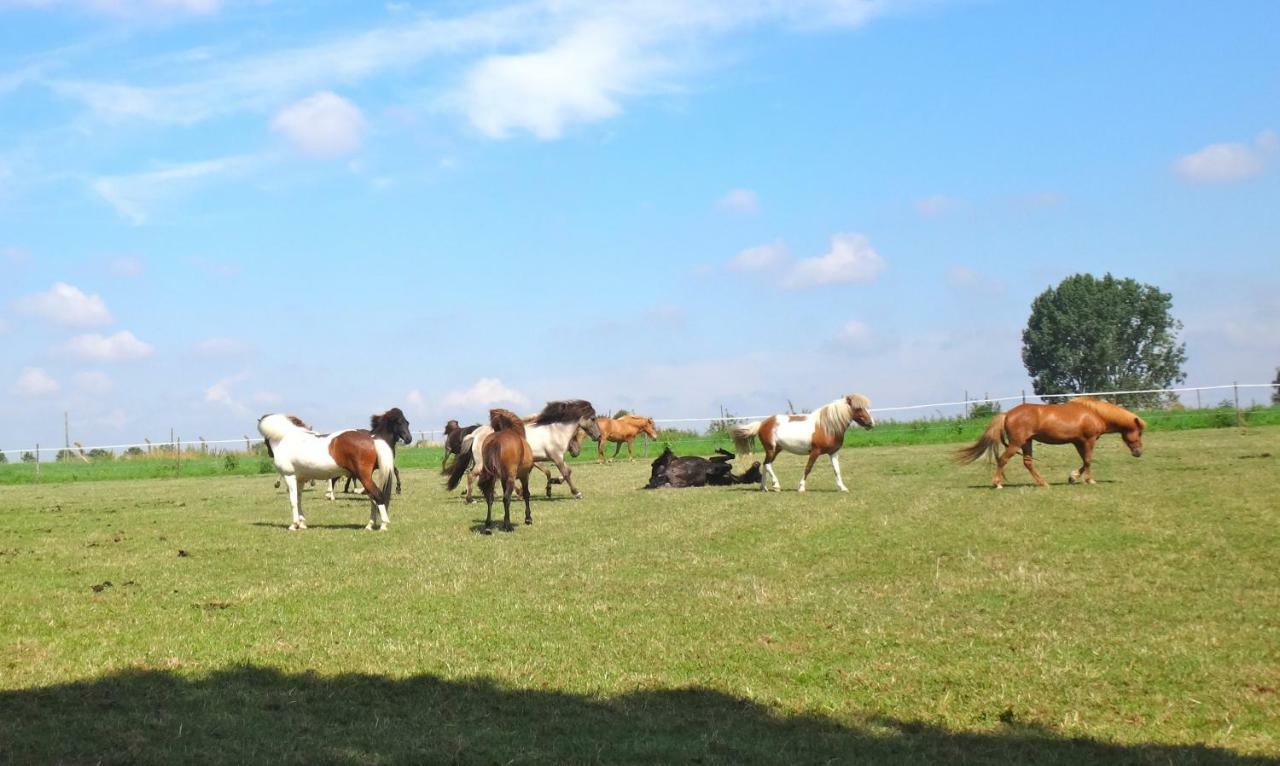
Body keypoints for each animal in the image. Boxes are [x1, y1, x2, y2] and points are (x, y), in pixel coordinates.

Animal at [258, 415, 394, 535]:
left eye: (265, 439)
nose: (270, 453)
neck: (285, 439)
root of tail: (372, 439)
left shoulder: (289, 476)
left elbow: (293, 501)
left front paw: (294, 525)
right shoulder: (300, 479)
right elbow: (299, 500)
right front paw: (302, 524)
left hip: (363, 477)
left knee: (378, 496)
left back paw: (383, 525)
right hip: (364, 478)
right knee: (373, 499)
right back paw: (369, 525)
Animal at [448, 407, 532, 535]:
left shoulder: (503, 479)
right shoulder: (524, 475)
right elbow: (527, 494)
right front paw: (528, 519)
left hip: (491, 476)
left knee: (489, 497)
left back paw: (488, 525)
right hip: (506, 476)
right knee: (505, 498)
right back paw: (507, 526)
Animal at [737, 394, 875, 494]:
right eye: (858, 408)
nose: (871, 423)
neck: (827, 426)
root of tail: (762, 423)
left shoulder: (833, 453)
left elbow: (837, 470)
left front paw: (843, 488)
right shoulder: (815, 452)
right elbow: (808, 468)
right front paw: (801, 487)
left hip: (776, 450)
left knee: (765, 465)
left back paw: (764, 488)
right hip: (771, 449)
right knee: (767, 464)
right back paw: (776, 486)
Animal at [952, 399, 1152, 489]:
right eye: (1139, 432)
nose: (1138, 452)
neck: (1094, 413)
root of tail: (1007, 414)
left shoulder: (1078, 442)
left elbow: (1083, 461)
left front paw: (1073, 477)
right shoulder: (1088, 440)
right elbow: (1088, 461)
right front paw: (1089, 480)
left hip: (1027, 443)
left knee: (1028, 463)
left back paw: (1043, 483)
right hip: (1017, 443)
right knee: (1002, 460)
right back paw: (997, 484)